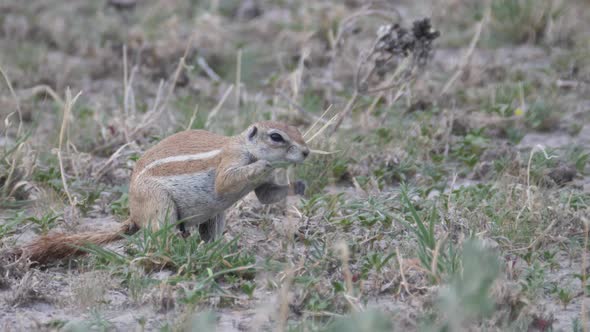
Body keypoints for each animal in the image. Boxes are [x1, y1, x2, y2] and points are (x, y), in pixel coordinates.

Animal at [9, 121, 312, 264]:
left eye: (298, 130)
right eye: (276, 137)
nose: (307, 152)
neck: (245, 146)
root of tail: (134, 214)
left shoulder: (263, 185)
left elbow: (266, 196)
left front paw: (298, 186)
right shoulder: (231, 159)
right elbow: (225, 182)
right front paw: (262, 164)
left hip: (214, 215)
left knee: (206, 234)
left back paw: (216, 249)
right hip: (159, 204)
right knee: (160, 236)